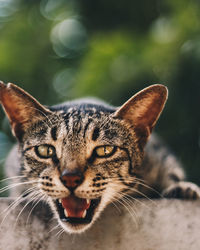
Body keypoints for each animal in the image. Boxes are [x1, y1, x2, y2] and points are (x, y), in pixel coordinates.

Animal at [0, 81, 200, 233]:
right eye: (45, 150)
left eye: (105, 150)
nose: (70, 178)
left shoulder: (162, 156)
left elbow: (172, 174)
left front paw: (181, 188)